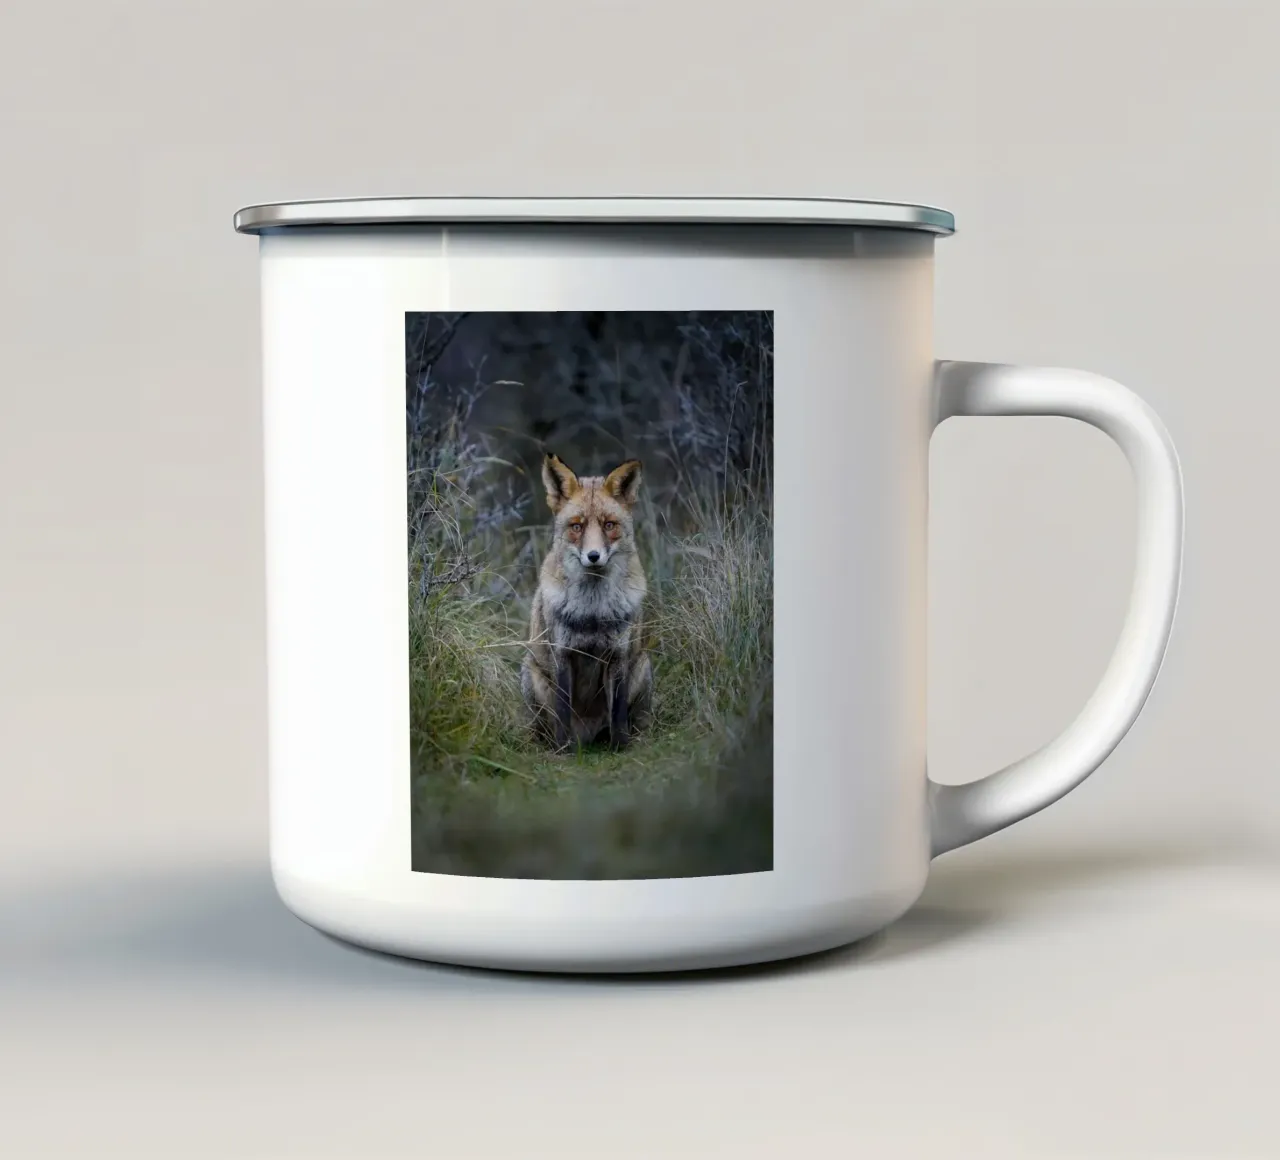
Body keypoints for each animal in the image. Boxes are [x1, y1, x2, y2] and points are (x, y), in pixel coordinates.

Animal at [521, 452, 653, 751]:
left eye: (609, 525)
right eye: (577, 526)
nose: (593, 556)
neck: (592, 612)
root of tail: (588, 737)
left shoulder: (618, 654)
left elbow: (618, 713)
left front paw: (620, 747)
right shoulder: (562, 654)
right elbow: (563, 710)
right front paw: (563, 750)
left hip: (642, 664)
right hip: (531, 674)